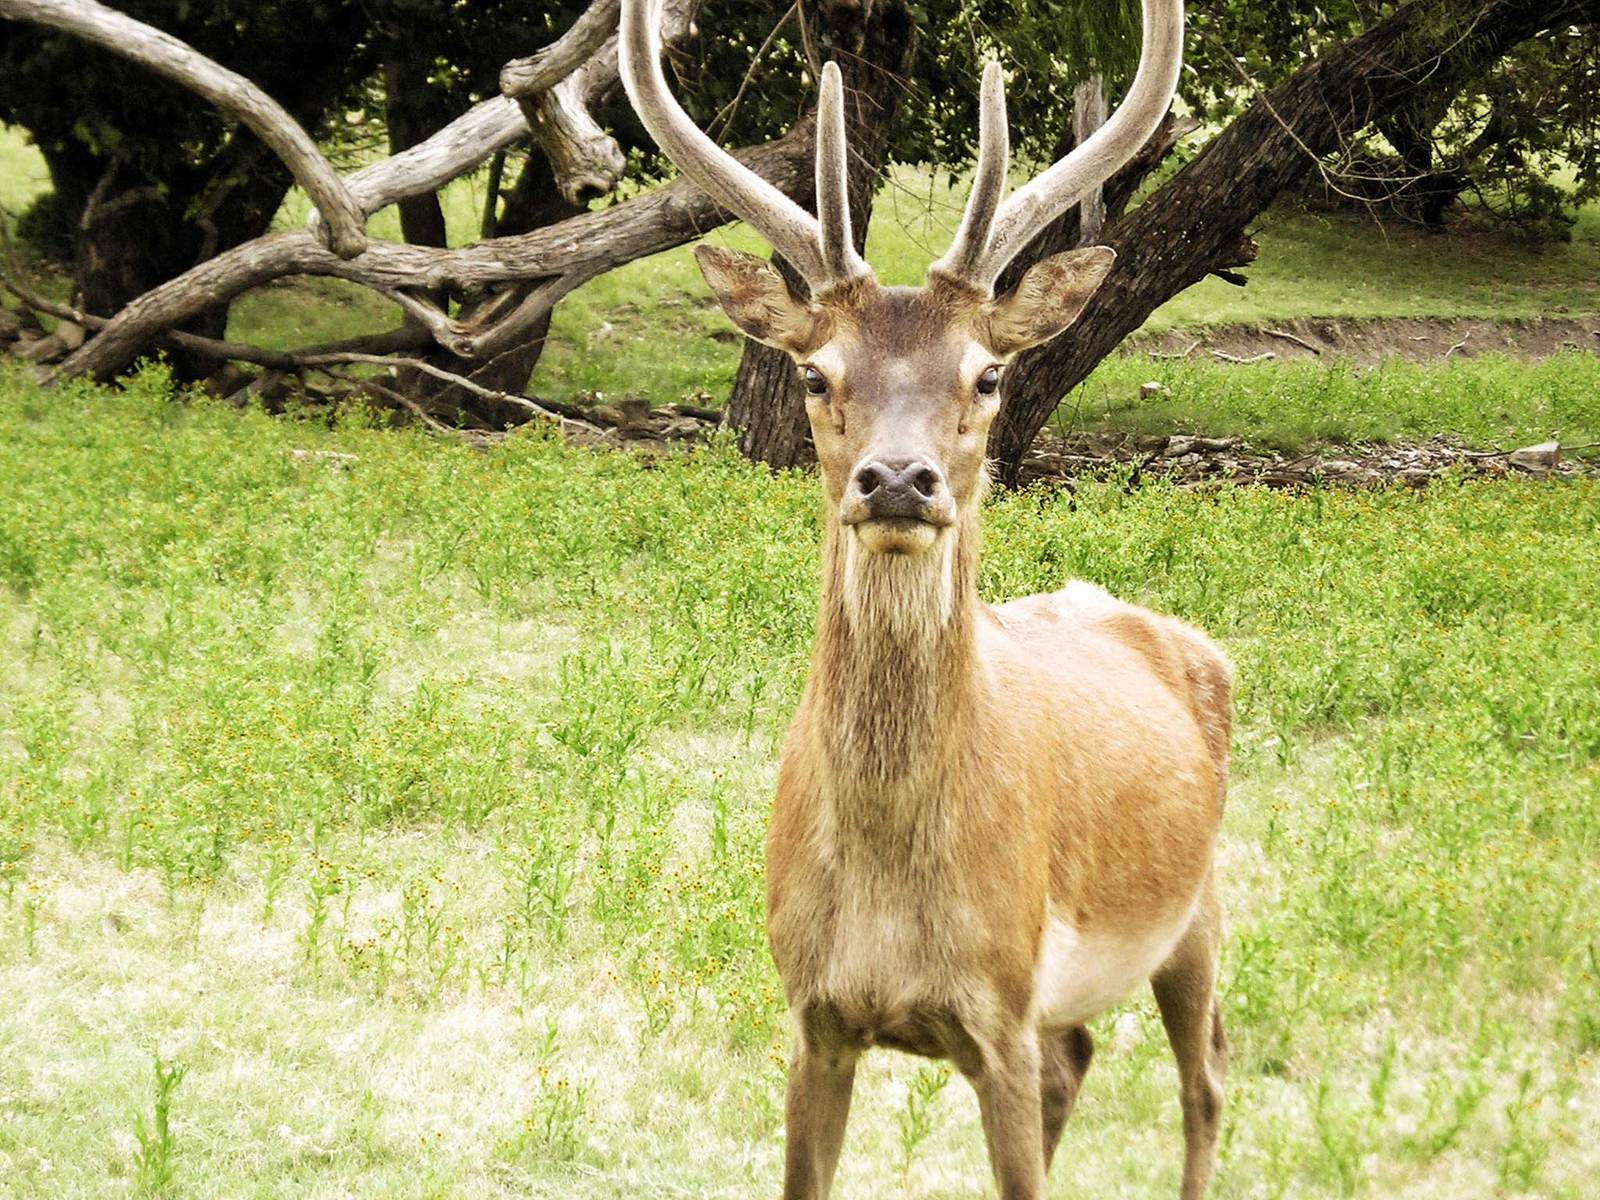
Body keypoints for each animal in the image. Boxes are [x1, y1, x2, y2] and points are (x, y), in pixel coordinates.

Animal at [617, 2, 1228, 1200]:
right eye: (815, 373)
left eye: (986, 373)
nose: (898, 480)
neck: (895, 910)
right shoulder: (810, 1016)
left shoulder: (1000, 1006)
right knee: (1084, 1059)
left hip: (1200, 910)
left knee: (1206, 1083)